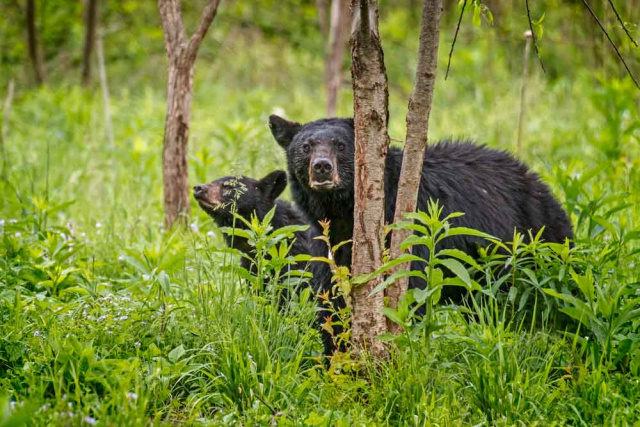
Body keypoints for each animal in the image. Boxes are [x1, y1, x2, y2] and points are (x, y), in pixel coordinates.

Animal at [268, 115, 572, 302]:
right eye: (306, 146)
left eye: (341, 145)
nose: (322, 167)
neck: (344, 211)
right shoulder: (326, 240)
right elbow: (328, 293)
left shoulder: (408, 229)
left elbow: (412, 284)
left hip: (538, 236)